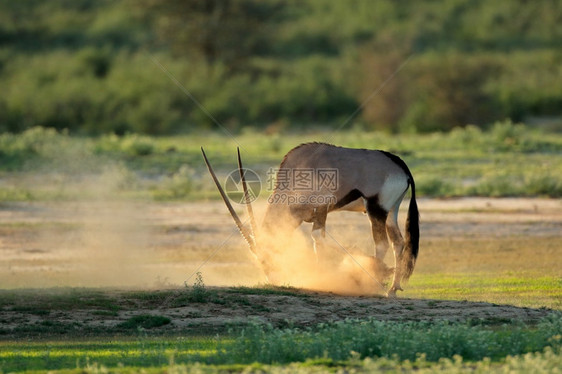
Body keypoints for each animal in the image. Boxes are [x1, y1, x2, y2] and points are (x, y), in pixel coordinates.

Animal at [200, 142, 416, 296]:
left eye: (267, 256)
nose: (274, 280)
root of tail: (401, 167)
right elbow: (317, 241)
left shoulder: (321, 208)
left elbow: (318, 238)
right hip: (391, 211)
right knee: (398, 242)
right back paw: (393, 289)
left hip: (375, 210)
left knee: (381, 244)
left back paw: (373, 283)